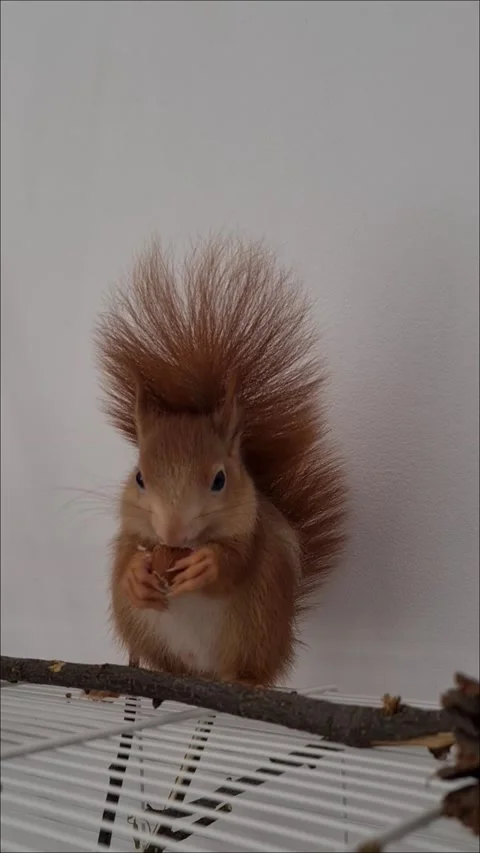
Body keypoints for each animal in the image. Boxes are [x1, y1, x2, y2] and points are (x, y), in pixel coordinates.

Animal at [94, 237, 346, 689]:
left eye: (219, 480)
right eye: (139, 477)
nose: (172, 531)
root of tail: (204, 671)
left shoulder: (253, 532)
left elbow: (235, 563)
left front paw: (207, 565)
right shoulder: (132, 531)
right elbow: (124, 560)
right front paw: (136, 575)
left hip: (257, 626)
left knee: (250, 670)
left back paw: (245, 681)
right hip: (142, 628)